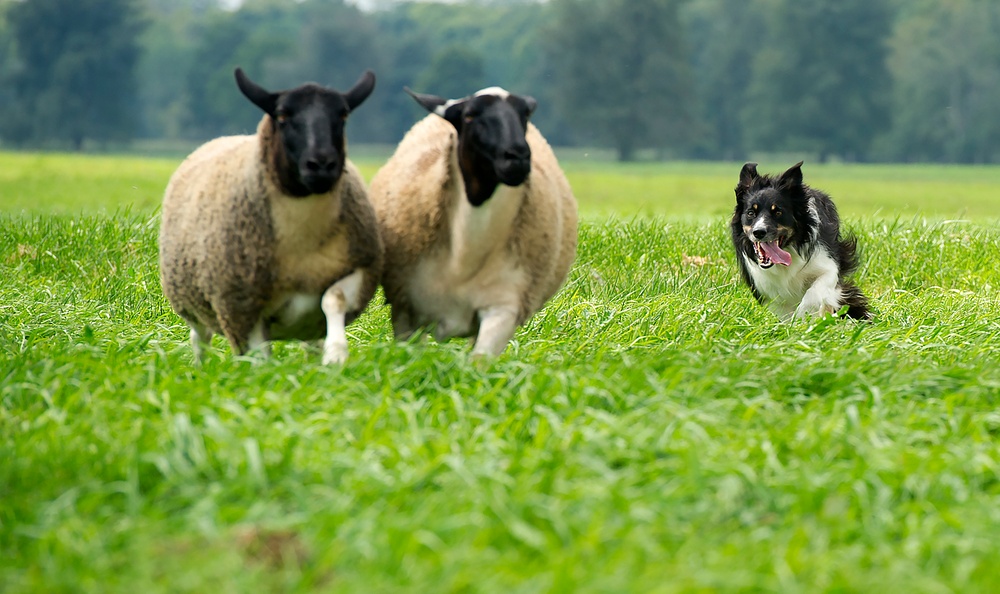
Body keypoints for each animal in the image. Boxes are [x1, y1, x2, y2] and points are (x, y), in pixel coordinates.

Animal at [160, 67, 382, 364]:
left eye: (343, 115)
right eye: (282, 116)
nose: (321, 165)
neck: (302, 244)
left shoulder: (354, 270)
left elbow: (333, 300)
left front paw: (335, 356)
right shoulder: (241, 307)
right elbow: (260, 357)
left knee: (311, 341)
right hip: (190, 296)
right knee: (200, 338)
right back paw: (200, 367)